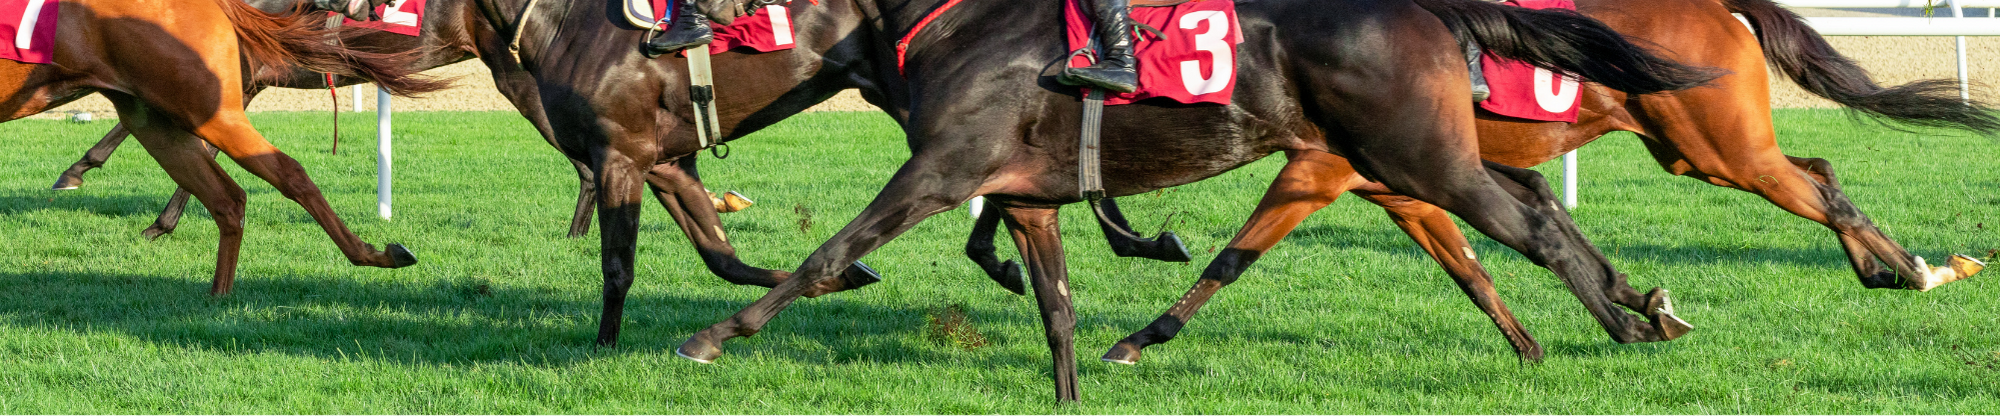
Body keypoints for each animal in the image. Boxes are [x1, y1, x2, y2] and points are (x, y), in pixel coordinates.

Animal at [664, 0, 1728, 402]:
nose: (664, 28)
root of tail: (1431, 11)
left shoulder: (943, 170)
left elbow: (829, 254)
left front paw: (712, 336)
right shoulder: (1025, 194)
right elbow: (1054, 306)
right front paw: (1071, 389)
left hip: (1418, 156)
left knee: (1531, 227)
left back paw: (1628, 323)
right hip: (1408, 155)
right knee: (1536, 204)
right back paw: (1640, 305)